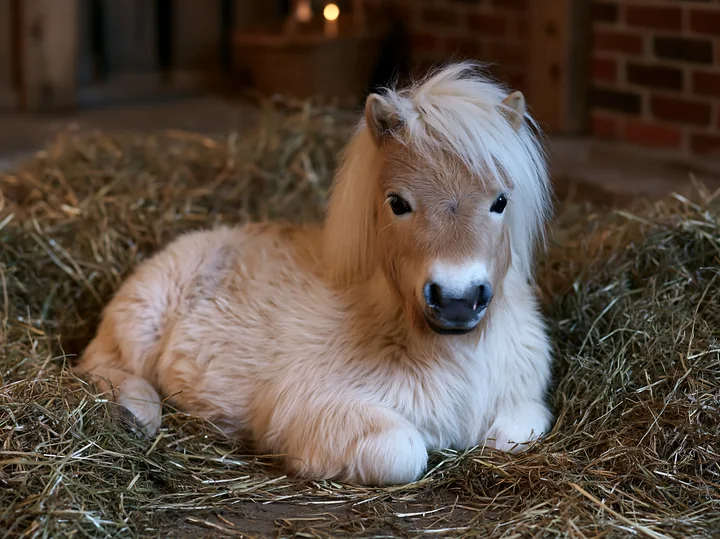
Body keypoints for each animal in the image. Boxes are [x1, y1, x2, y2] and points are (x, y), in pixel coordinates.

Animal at [75, 62, 555, 486]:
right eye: (397, 202)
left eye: (500, 201)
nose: (457, 300)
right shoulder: (319, 408)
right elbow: (402, 451)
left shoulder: (520, 403)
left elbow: (514, 434)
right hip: (142, 319)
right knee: (102, 364)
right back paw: (137, 413)